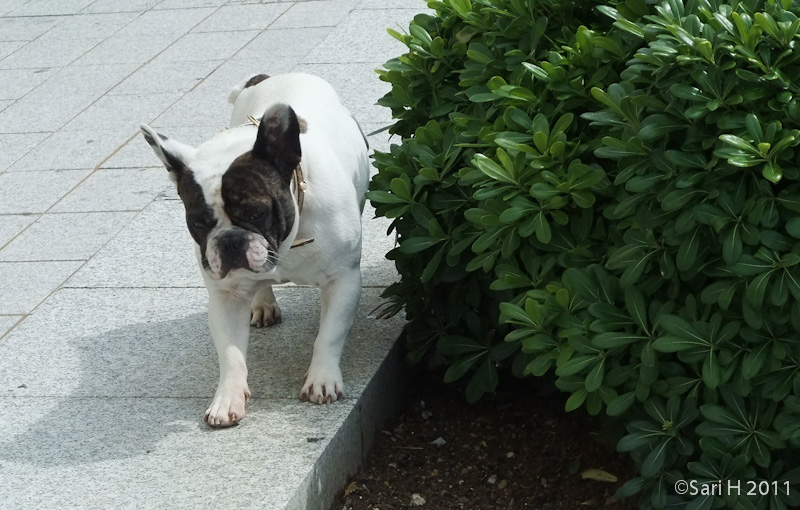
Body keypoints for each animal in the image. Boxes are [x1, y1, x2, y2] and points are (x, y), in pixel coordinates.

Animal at [140, 72, 368, 426]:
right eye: (198, 222)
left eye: (256, 212)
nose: (230, 240)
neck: (286, 246)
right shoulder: (226, 296)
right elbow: (231, 354)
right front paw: (227, 398)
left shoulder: (342, 280)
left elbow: (329, 334)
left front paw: (322, 379)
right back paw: (263, 303)